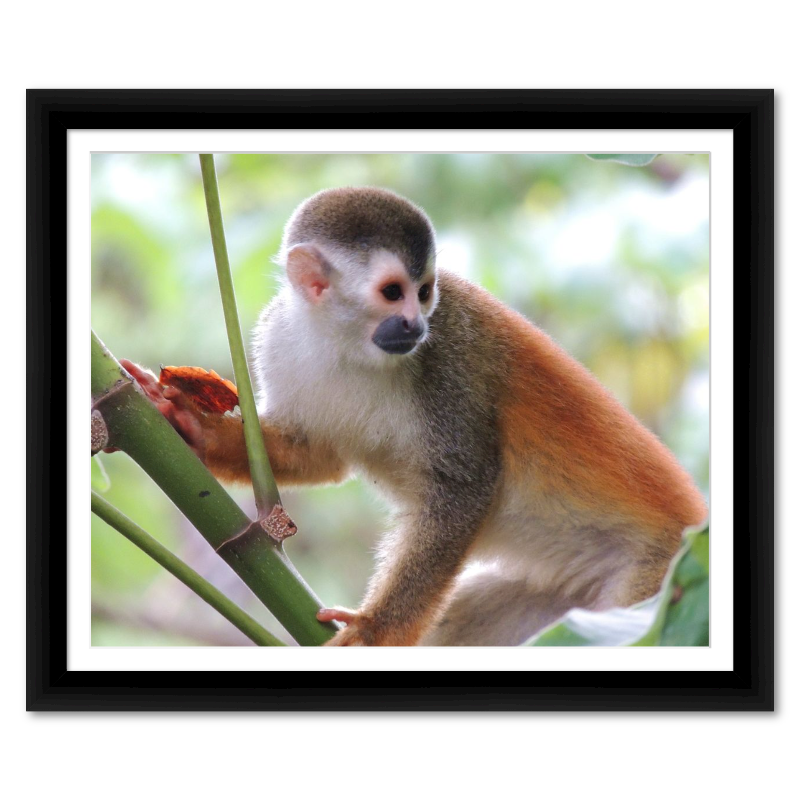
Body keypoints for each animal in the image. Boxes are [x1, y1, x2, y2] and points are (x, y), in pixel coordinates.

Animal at [124, 186, 708, 646]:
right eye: (392, 292)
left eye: (425, 291)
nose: (414, 323)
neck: (349, 344)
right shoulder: (279, 337)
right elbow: (315, 452)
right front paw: (196, 429)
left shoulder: (450, 358)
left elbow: (464, 488)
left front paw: (374, 632)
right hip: (578, 611)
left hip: (656, 589)